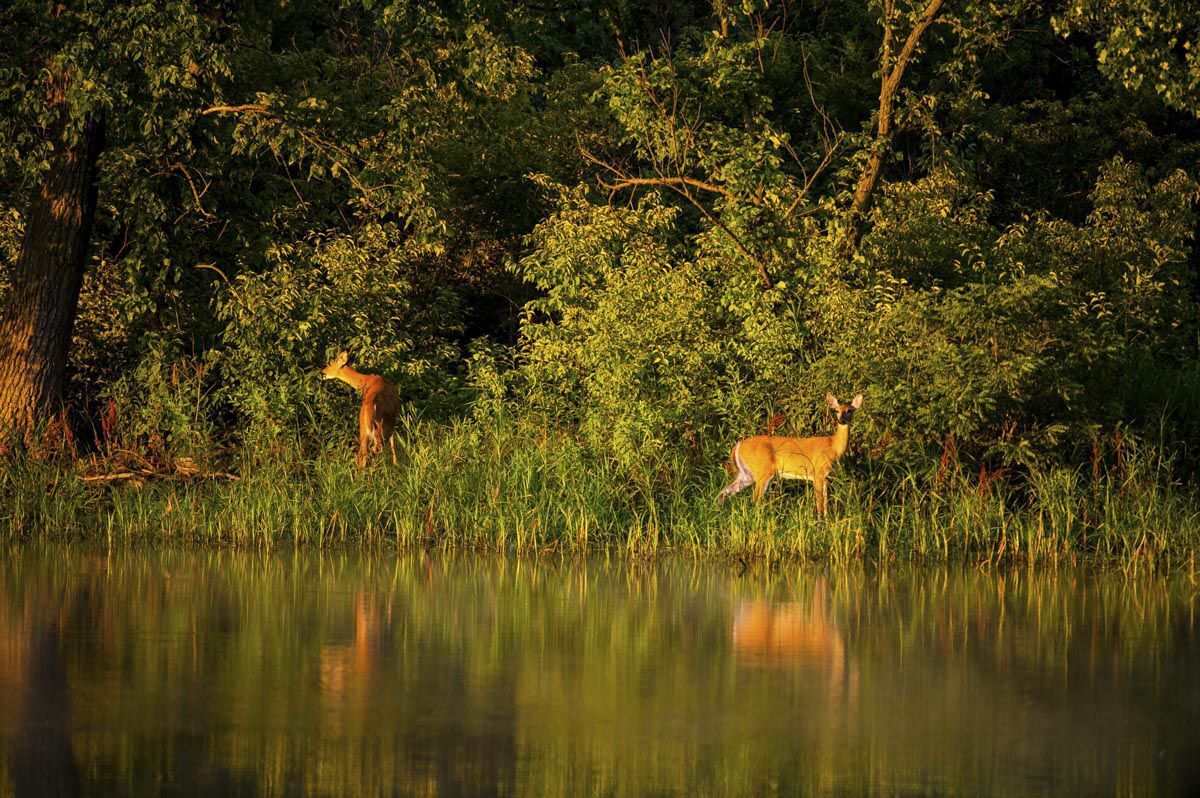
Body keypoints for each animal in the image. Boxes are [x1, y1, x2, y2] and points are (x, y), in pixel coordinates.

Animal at [718, 393, 863, 517]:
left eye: (850, 410)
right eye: (837, 410)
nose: (841, 421)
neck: (834, 446)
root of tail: (738, 445)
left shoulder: (827, 477)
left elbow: (826, 502)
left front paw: (827, 523)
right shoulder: (818, 472)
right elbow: (819, 502)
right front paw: (819, 524)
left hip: (746, 474)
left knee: (724, 492)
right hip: (763, 471)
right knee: (755, 499)